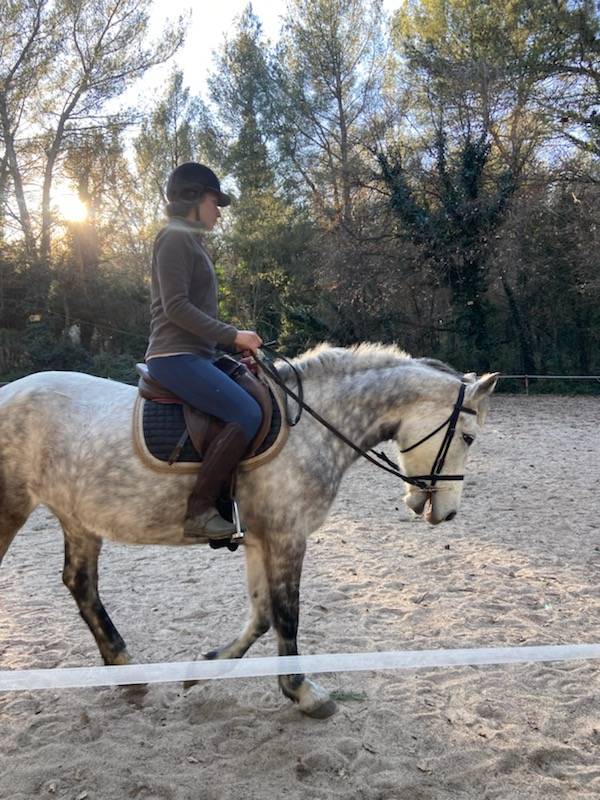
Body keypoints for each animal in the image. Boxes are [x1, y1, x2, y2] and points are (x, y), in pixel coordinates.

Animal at [0, 343, 498, 717]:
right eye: (468, 437)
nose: (447, 514)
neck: (310, 426)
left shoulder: (261, 538)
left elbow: (261, 615)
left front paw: (201, 670)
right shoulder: (288, 536)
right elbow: (287, 614)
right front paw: (303, 692)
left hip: (78, 517)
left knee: (81, 584)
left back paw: (127, 672)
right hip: (13, 508)